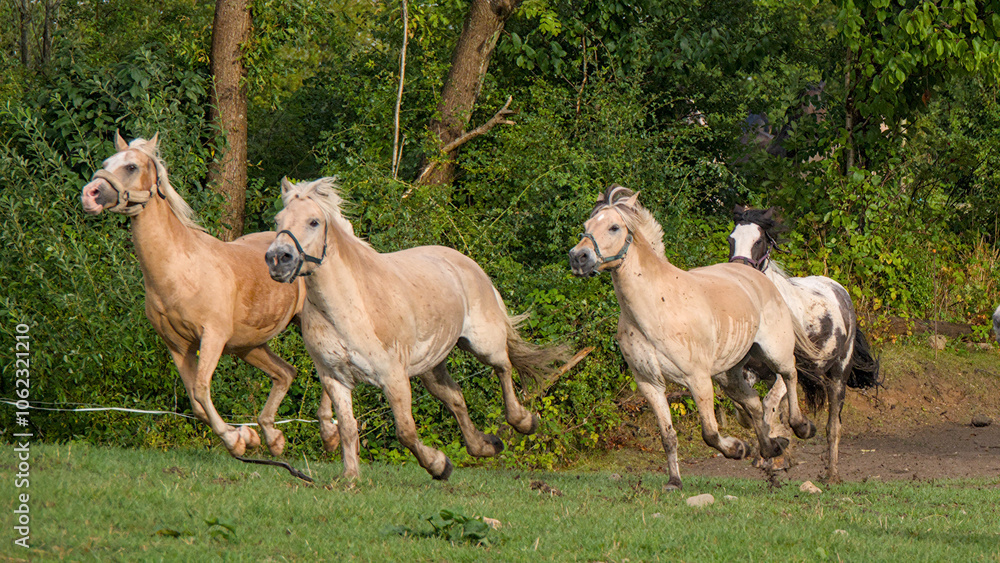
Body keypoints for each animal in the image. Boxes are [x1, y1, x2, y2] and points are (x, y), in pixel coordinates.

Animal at [80, 132, 340, 460]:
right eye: (105, 164)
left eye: (130, 166)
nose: (90, 195)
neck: (180, 269)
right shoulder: (178, 346)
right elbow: (195, 403)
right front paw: (247, 437)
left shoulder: (212, 337)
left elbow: (202, 389)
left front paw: (235, 441)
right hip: (248, 346)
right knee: (285, 373)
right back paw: (273, 437)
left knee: (327, 369)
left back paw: (329, 433)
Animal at [265, 177, 569, 480]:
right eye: (278, 220)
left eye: (314, 222)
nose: (278, 258)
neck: (347, 309)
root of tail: (464, 262)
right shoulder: (334, 377)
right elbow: (348, 428)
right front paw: (350, 477)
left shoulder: (394, 377)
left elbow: (406, 432)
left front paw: (438, 465)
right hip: (431, 366)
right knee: (455, 397)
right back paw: (484, 446)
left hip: (484, 344)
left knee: (503, 367)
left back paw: (524, 421)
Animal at [568, 185, 822, 490]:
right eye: (586, 226)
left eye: (614, 227)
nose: (578, 258)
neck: (656, 308)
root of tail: (753, 273)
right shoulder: (650, 384)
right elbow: (668, 436)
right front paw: (674, 481)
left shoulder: (697, 379)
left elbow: (709, 433)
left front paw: (737, 448)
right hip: (729, 373)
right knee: (753, 403)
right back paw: (771, 447)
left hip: (774, 352)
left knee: (790, 375)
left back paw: (801, 427)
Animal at [729, 205, 880, 483]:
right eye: (731, 239)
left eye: (759, 241)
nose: (738, 273)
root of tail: (839, 290)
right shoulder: (751, 370)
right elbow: (744, 408)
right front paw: (775, 450)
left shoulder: (787, 368)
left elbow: (769, 405)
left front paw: (798, 432)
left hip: (838, 374)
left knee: (833, 425)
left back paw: (831, 474)